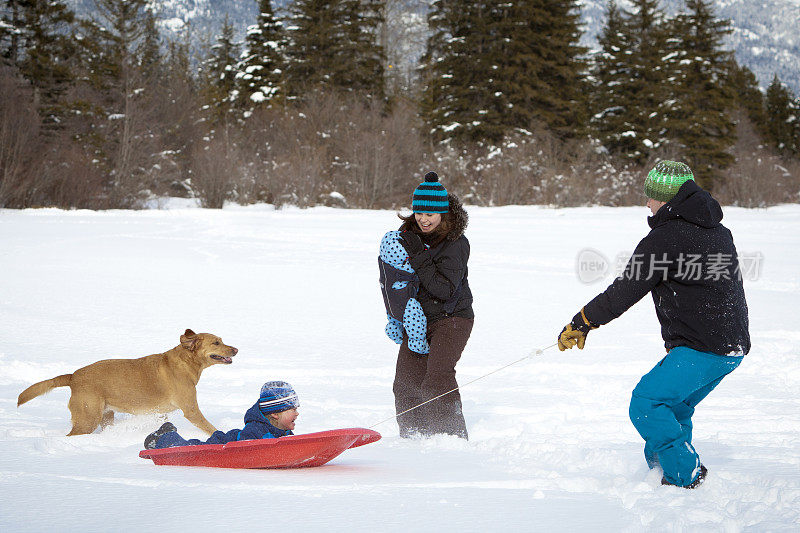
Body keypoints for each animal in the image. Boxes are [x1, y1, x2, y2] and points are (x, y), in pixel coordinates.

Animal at [17, 328, 236, 436]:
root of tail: (73, 376)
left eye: (222, 340)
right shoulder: (191, 410)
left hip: (105, 416)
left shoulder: (160, 413)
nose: (236, 349)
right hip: (88, 419)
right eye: (216, 342)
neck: (186, 362)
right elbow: (210, 427)